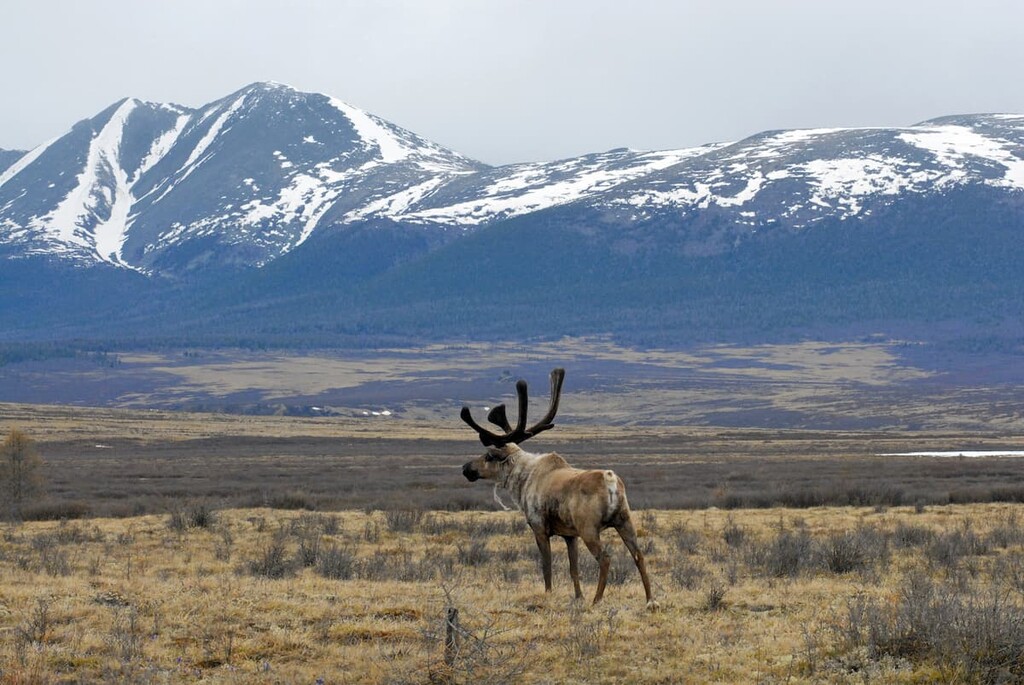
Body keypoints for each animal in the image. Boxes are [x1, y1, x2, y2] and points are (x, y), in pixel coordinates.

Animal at [460, 368, 658, 610]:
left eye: (489, 455)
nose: (466, 468)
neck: (522, 481)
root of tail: (611, 481)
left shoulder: (539, 527)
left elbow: (547, 567)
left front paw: (548, 595)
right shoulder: (569, 535)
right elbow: (574, 569)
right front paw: (578, 597)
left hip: (589, 528)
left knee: (605, 558)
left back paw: (597, 600)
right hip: (624, 520)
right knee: (639, 555)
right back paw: (650, 600)